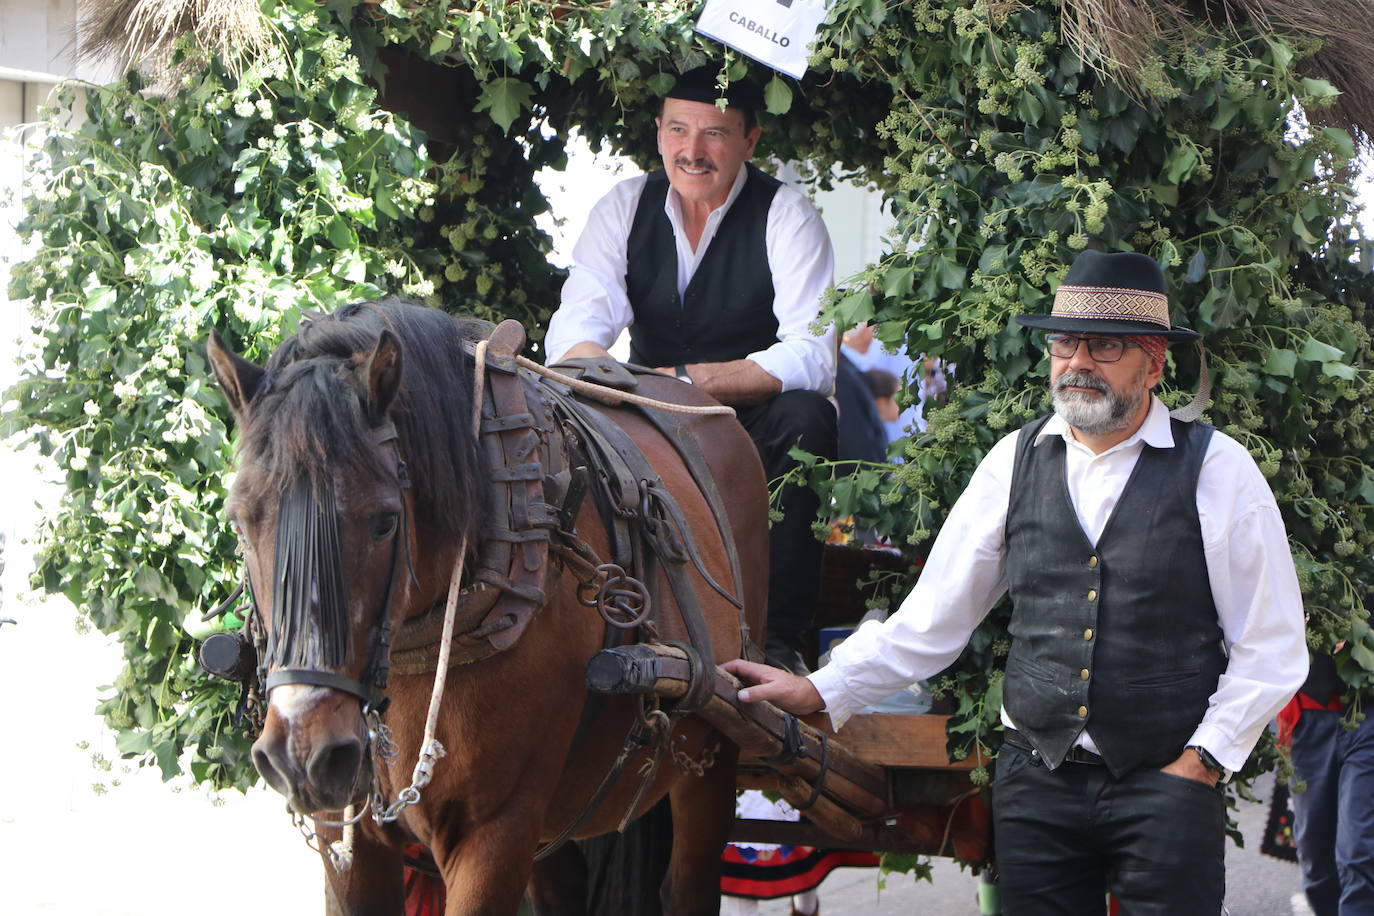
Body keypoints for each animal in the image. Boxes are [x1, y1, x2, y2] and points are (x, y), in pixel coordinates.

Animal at [210, 298, 780, 911]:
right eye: (240, 523)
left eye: (385, 520)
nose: (303, 753)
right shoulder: (347, 836)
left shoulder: (494, 833)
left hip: (720, 743)